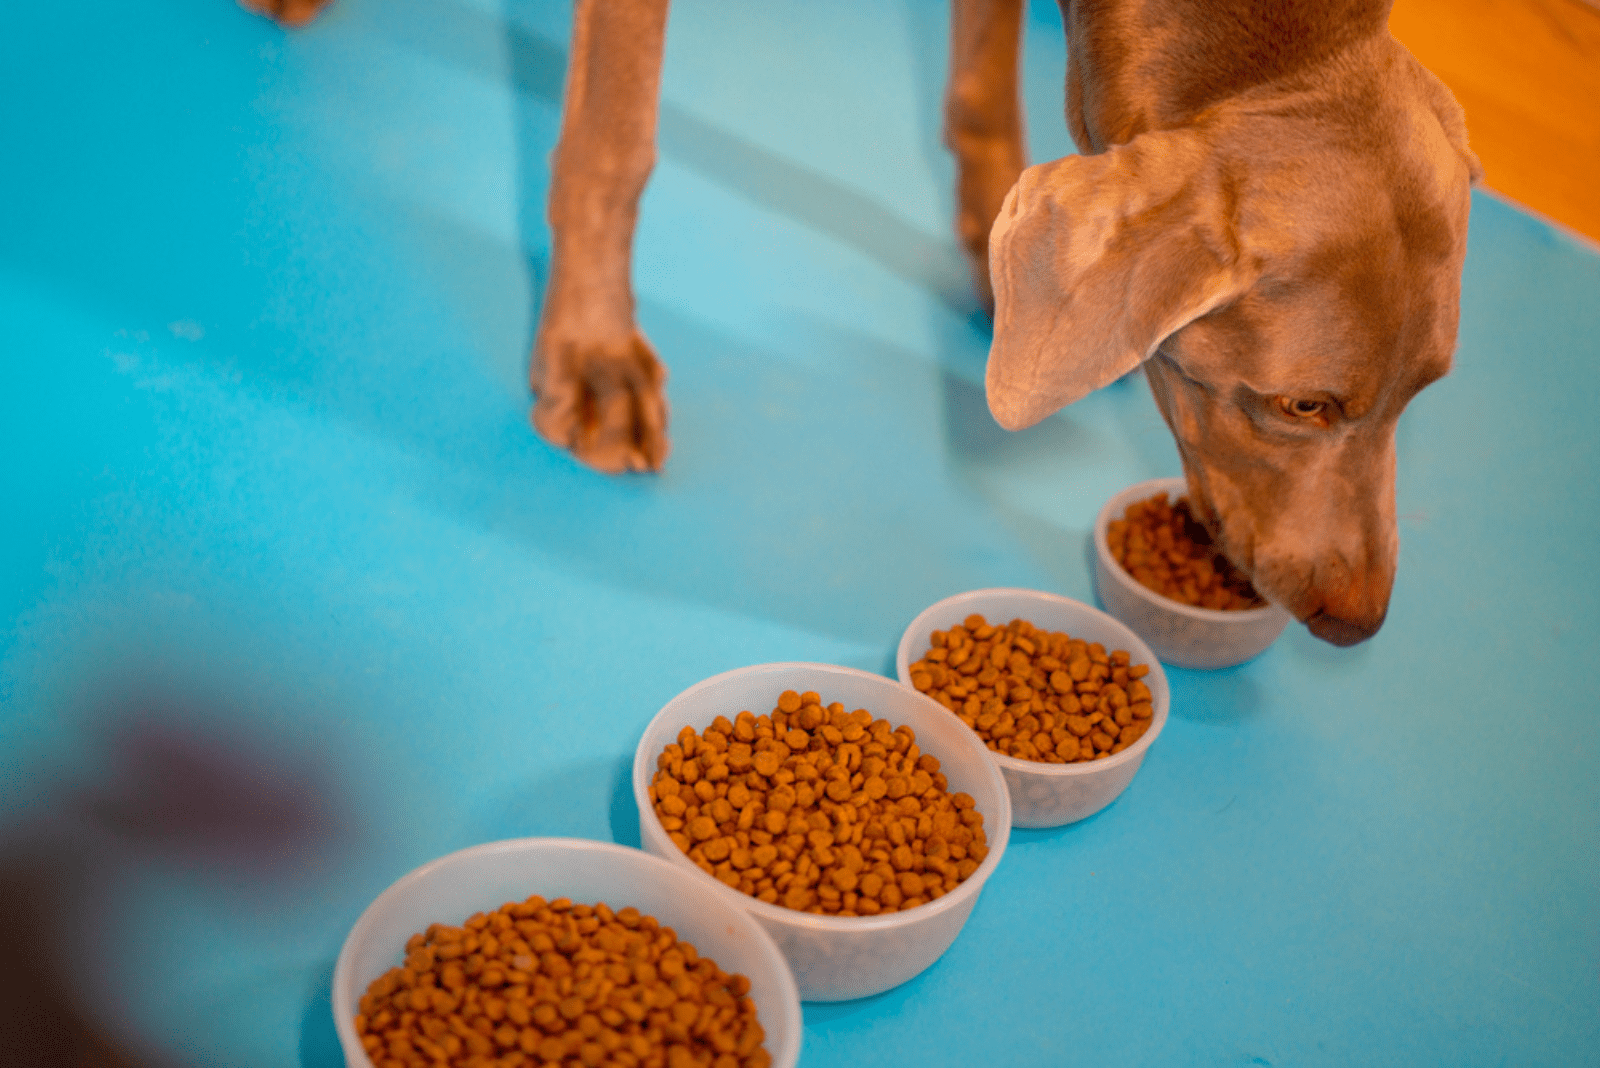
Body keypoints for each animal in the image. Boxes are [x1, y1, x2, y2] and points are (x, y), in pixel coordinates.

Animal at [243, 2, 1478, 642]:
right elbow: (616, 137)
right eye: (1301, 405)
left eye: (1423, 396)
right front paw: (592, 356)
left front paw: (987, 235)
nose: (1361, 622)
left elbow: (984, 77)